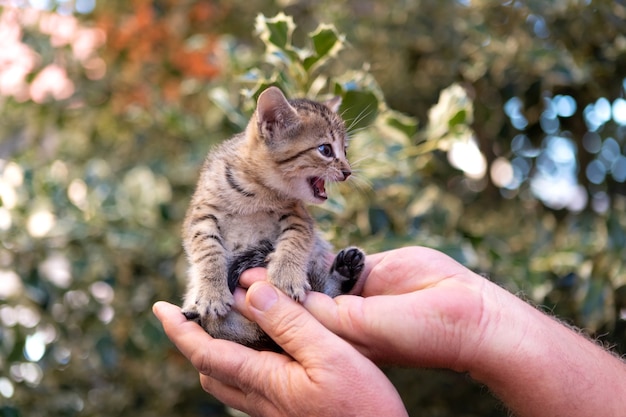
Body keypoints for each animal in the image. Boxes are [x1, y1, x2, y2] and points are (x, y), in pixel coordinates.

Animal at [180, 84, 366, 348]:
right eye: (326, 150)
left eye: (346, 151)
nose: (348, 172)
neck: (257, 192)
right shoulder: (201, 216)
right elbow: (208, 250)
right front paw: (212, 293)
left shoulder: (299, 216)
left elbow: (296, 239)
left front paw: (287, 275)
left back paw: (345, 268)